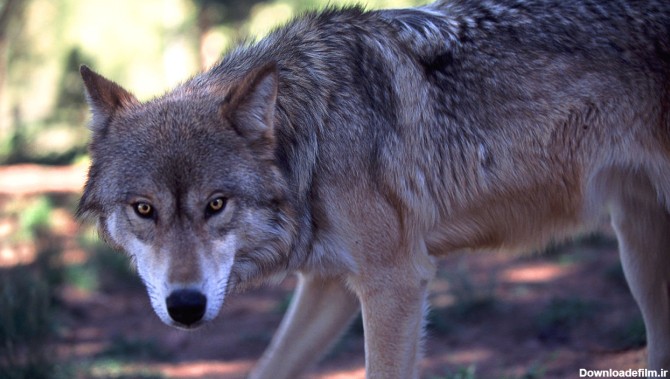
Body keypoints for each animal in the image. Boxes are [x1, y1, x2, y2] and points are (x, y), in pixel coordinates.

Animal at [77, 0, 670, 378]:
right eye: (144, 209)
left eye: (216, 205)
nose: (185, 307)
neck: (313, 137)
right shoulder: (330, 285)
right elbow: (268, 367)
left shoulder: (395, 283)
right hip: (640, 252)